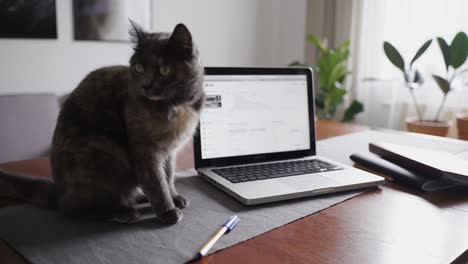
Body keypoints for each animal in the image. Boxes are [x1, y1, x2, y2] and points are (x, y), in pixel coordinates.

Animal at [0, 21, 205, 225]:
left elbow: (169, 177)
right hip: (103, 154)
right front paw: (167, 210)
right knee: (74, 209)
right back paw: (123, 211)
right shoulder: (146, 151)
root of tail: (59, 191)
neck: (176, 105)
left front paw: (174, 197)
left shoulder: (170, 152)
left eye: (163, 70)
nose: (145, 85)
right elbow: (156, 182)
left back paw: (139, 198)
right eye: (139, 68)